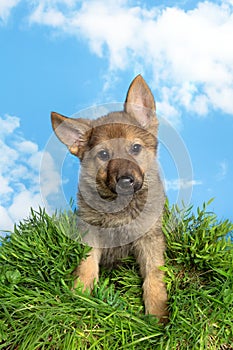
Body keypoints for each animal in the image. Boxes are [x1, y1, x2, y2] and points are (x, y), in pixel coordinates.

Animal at [51, 75, 168, 324]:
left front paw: (157, 314)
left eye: (135, 148)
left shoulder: (149, 238)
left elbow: (153, 275)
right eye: (104, 155)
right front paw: (80, 295)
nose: (125, 180)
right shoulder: (90, 231)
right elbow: (86, 265)